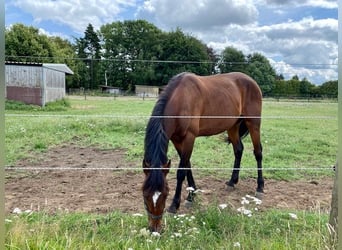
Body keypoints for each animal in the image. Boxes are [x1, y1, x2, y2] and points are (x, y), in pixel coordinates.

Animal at [142, 72, 264, 232]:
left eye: (165, 195)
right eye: (145, 196)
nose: (154, 228)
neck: (180, 98)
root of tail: (252, 81)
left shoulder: (189, 137)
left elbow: (181, 171)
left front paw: (175, 204)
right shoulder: (176, 140)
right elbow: (187, 166)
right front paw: (192, 194)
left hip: (253, 123)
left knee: (258, 152)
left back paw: (260, 187)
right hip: (232, 125)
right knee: (238, 150)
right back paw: (232, 182)